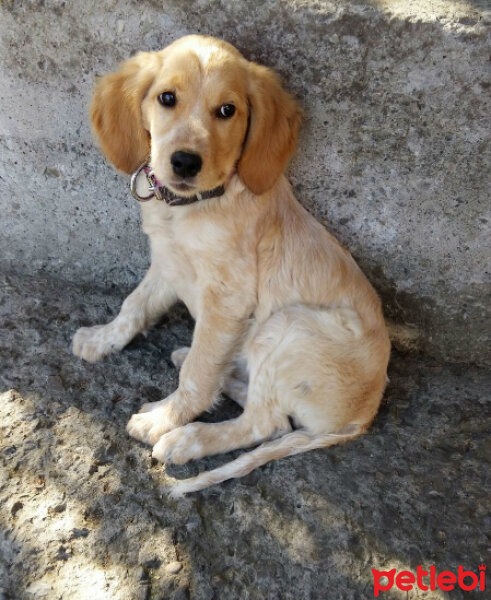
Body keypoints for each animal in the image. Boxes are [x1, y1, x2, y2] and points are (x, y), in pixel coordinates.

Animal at [72, 34, 392, 496]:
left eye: (227, 110)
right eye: (166, 98)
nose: (185, 162)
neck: (192, 209)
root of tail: (363, 416)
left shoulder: (228, 300)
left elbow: (199, 372)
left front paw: (164, 419)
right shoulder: (167, 264)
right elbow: (134, 306)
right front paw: (101, 339)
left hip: (289, 327)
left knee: (267, 422)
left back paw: (188, 437)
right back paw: (218, 375)